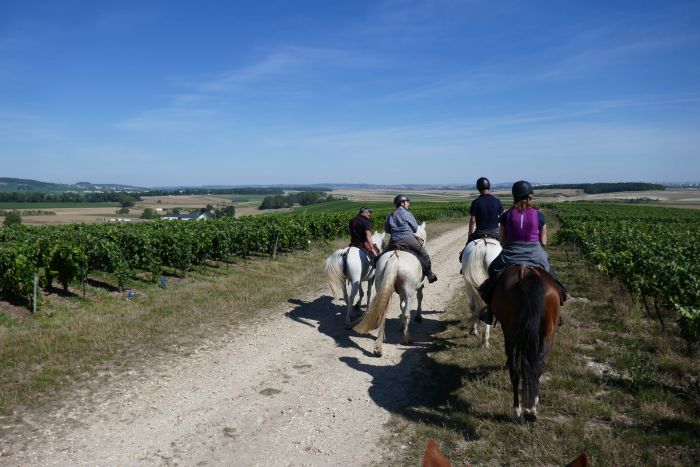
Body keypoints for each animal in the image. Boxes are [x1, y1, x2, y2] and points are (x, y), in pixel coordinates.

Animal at [356, 221, 426, 356]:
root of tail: (394, 258)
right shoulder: (418, 286)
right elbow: (419, 298)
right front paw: (418, 317)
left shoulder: (401, 292)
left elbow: (402, 306)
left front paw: (400, 326)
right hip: (409, 292)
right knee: (407, 314)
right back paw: (406, 339)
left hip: (381, 286)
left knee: (383, 314)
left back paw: (378, 348)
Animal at [492, 266, 564, 422]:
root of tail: (529, 275)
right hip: (546, 334)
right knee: (534, 365)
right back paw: (525, 409)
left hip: (512, 334)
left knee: (519, 369)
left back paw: (521, 409)